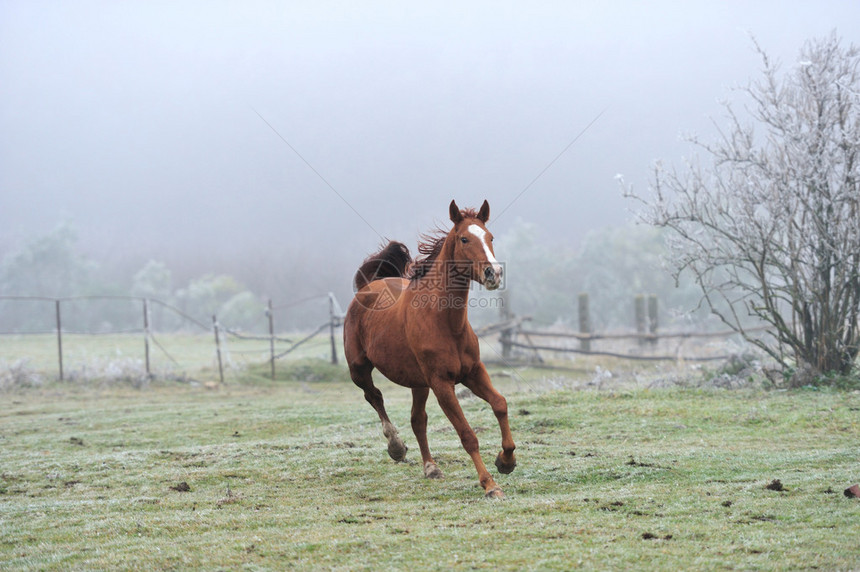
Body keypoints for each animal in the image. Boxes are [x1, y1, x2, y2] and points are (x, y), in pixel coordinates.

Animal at [342, 199, 516, 498]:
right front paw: (490, 485)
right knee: (374, 396)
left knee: (417, 420)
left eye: (490, 237)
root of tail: (368, 286)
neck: (445, 322)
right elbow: (467, 435)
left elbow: (500, 404)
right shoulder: (442, 384)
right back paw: (396, 447)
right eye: (464, 238)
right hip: (359, 369)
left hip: (418, 383)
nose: (494, 273)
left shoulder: (473, 372)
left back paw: (431, 467)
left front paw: (506, 461)